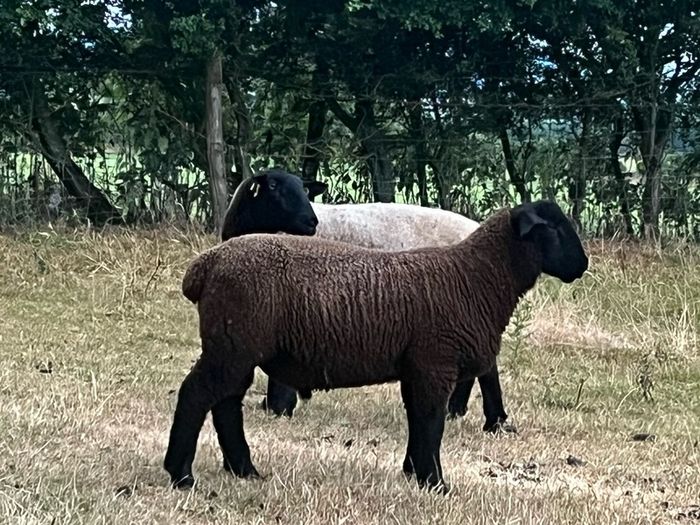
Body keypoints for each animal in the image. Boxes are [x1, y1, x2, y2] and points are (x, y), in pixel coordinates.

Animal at [164, 200, 588, 491]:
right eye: (554, 228)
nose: (583, 265)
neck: (476, 278)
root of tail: (204, 266)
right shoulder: (435, 363)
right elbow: (431, 422)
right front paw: (435, 483)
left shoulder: (416, 367)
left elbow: (418, 419)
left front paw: (413, 472)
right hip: (233, 345)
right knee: (196, 395)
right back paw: (181, 475)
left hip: (236, 346)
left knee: (226, 404)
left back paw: (244, 470)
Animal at [221, 173, 510, 432]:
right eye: (272, 186)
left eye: (304, 189)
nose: (311, 222)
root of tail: (474, 229)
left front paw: (280, 406)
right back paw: (457, 410)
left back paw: (494, 421)